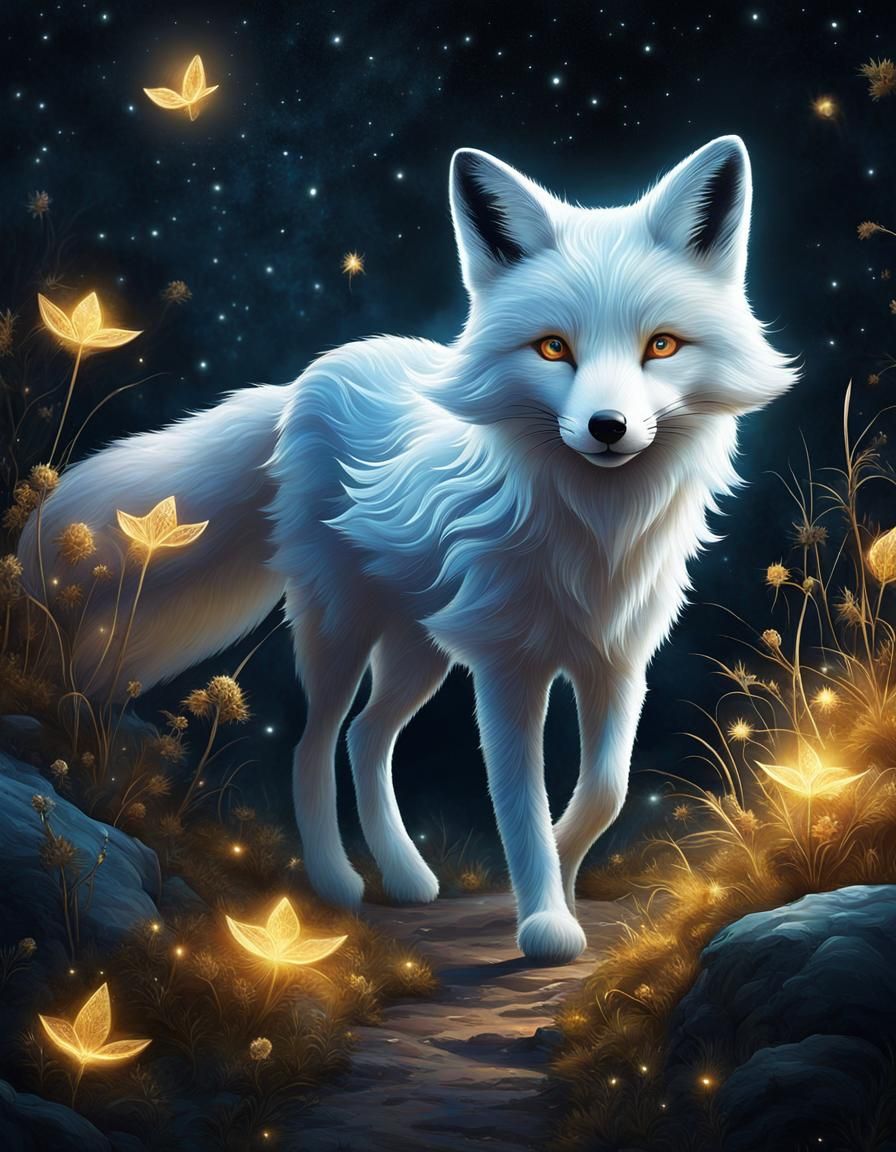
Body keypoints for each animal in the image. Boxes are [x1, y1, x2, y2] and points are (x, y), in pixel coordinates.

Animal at [19, 136, 796, 964]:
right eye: (554, 348)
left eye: (662, 346)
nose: (607, 427)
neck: (596, 533)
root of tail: (302, 384)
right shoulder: (507, 671)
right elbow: (520, 800)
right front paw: (544, 920)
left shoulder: (616, 663)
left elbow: (604, 793)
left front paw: (553, 878)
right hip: (341, 630)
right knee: (314, 742)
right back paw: (336, 883)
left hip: (421, 651)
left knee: (366, 737)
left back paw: (404, 874)